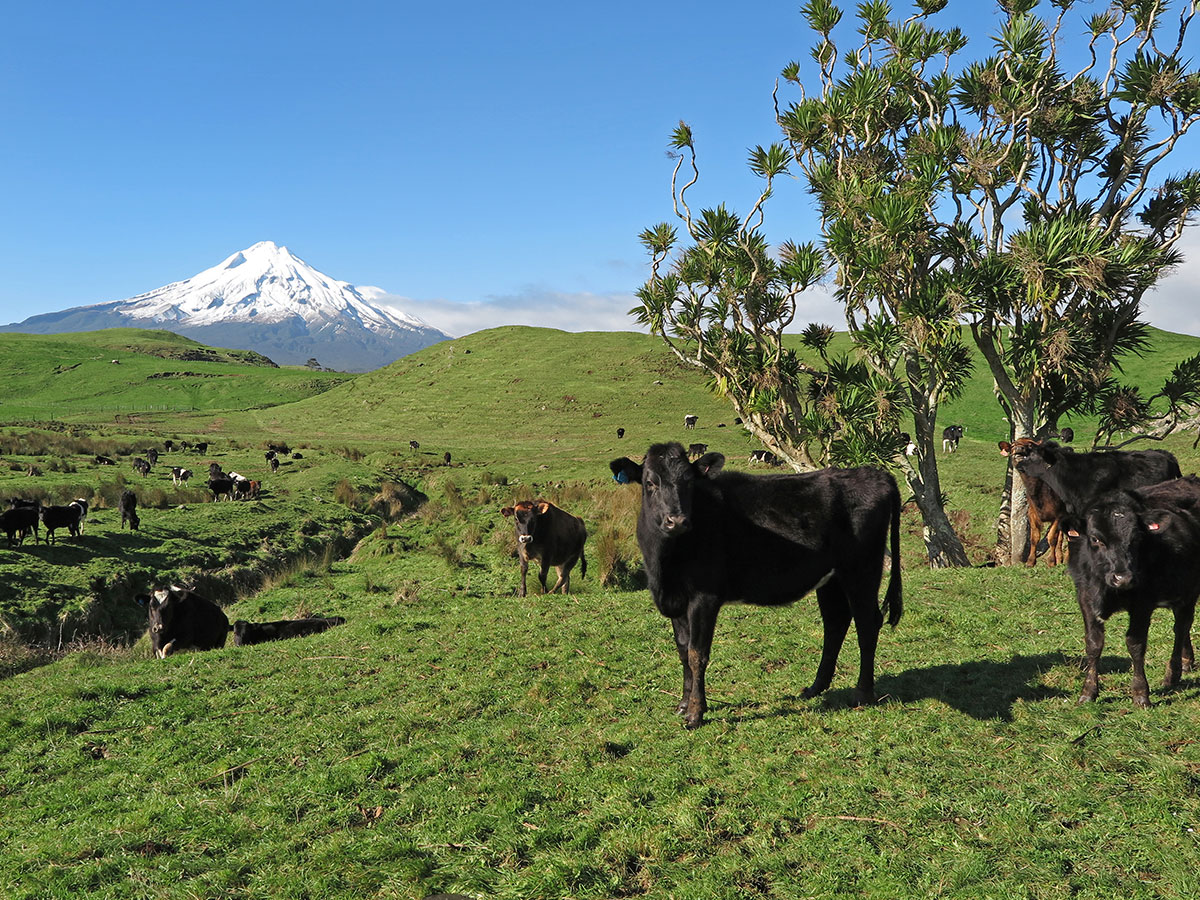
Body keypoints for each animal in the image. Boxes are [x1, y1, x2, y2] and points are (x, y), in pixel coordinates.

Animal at [609, 444, 902, 734]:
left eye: (689, 482)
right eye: (650, 482)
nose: (677, 521)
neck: (665, 564)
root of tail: (874, 473)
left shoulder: (705, 597)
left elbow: (697, 654)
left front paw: (695, 713)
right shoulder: (676, 600)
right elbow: (683, 651)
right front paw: (683, 704)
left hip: (861, 568)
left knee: (867, 622)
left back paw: (862, 694)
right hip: (832, 578)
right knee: (835, 623)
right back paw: (816, 687)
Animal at [1065, 482, 1200, 710]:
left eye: (1136, 538)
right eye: (1095, 539)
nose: (1124, 578)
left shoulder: (1142, 604)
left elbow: (1135, 644)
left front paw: (1140, 694)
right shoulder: (1085, 597)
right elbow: (1093, 644)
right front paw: (1088, 692)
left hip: (1190, 590)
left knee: (1181, 627)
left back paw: (1173, 674)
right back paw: (1186, 662)